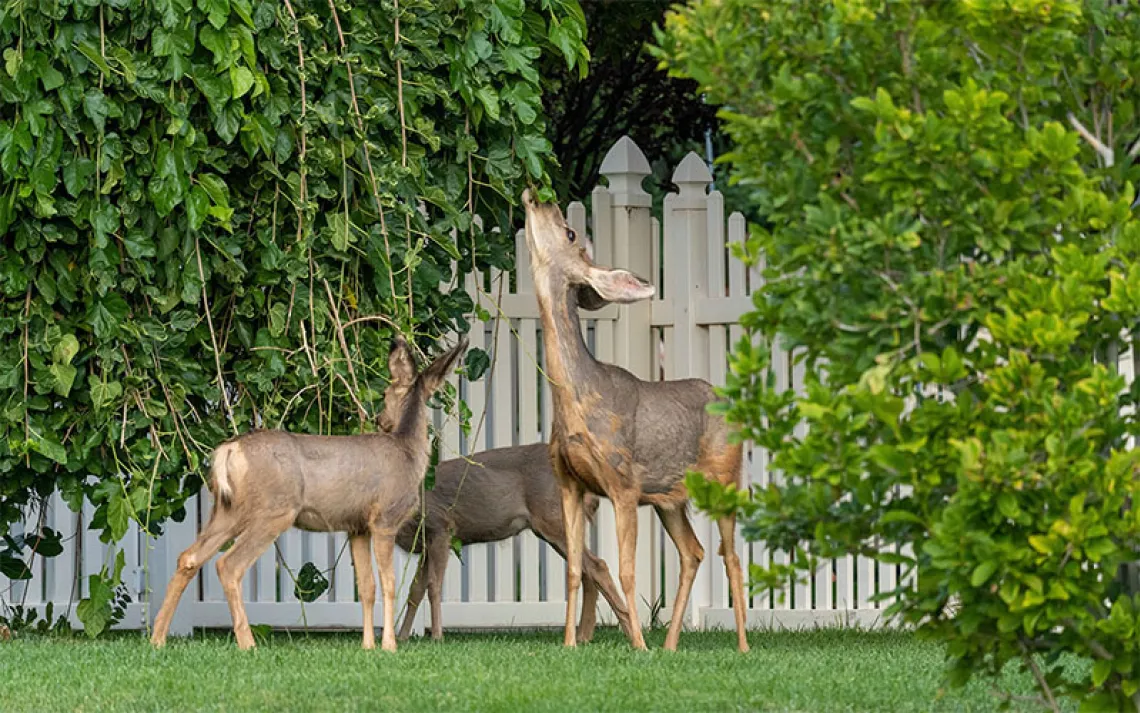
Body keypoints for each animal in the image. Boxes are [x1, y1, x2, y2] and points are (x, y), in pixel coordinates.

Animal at [149, 333, 465, 652]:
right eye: (386, 393)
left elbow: (367, 587)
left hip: (227, 510)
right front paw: (388, 645)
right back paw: (248, 643)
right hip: (275, 510)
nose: (380, 419)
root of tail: (230, 450)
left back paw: (157, 638)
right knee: (228, 565)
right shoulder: (385, 518)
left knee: (188, 558)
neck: (408, 453)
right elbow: (388, 584)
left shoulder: (357, 526)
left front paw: (368, 646)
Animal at [392, 442, 638, 643]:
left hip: (554, 520)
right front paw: (403, 637)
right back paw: (584, 636)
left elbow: (433, 587)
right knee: (586, 570)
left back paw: (629, 632)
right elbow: (415, 590)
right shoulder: (425, 543)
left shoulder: (441, 527)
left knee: (598, 565)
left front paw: (436, 636)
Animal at [522, 188, 752, 652]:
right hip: (669, 498)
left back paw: (741, 646)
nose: (537, 195)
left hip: (725, 477)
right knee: (693, 552)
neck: (577, 404)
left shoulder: (623, 481)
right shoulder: (569, 482)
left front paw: (639, 646)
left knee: (732, 557)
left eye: (570, 231)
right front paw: (570, 644)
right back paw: (671, 646)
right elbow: (574, 569)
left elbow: (626, 570)